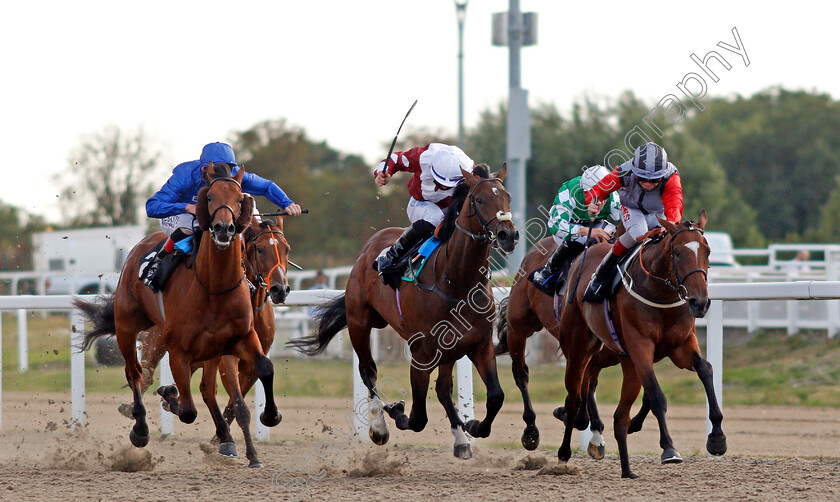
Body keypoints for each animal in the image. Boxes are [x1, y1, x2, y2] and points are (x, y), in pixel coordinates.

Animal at [74, 164, 282, 454]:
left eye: (240, 199)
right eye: (209, 197)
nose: (224, 229)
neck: (213, 288)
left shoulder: (238, 342)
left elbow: (261, 371)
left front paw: (268, 417)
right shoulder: (186, 351)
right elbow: (191, 408)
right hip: (129, 326)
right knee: (136, 373)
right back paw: (141, 427)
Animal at [115, 213, 292, 466]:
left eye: (287, 249)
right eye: (259, 249)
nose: (280, 289)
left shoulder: (249, 361)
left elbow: (233, 402)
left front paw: (228, 441)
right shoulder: (227, 358)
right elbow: (234, 402)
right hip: (147, 337)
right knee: (143, 374)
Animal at [288, 165, 516, 458]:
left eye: (508, 196)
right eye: (480, 199)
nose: (508, 235)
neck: (457, 283)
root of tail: (368, 247)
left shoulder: (479, 345)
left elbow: (496, 396)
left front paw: (473, 427)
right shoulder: (421, 353)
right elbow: (418, 418)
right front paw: (395, 410)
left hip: (447, 348)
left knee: (442, 390)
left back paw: (460, 439)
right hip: (359, 322)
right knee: (368, 371)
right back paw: (379, 426)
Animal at [556, 211, 724, 478]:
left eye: (707, 251)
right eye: (677, 252)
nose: (700, 302)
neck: (660, 292)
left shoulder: (680, 345)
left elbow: (705, 370)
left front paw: (717, 438)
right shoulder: (640, 345)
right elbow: (656, 394)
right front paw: (669, 448)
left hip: (608, 353)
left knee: (589, 379)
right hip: (578, 347)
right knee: (575, 394)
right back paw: (565, 449)